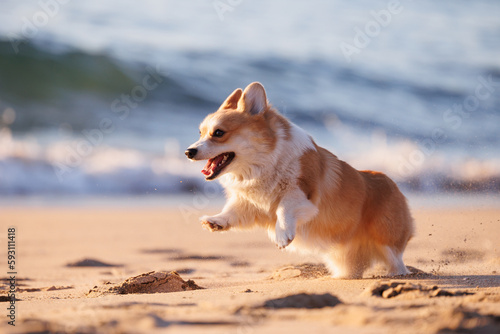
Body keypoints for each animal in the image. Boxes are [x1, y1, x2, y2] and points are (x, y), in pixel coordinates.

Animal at [186, 81, 412, 280]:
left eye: (218, 133)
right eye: (200, 133)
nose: (189, 152)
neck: (265, 161)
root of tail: (395, 185)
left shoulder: (303, 194)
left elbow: (283, 207)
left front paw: (283, 235)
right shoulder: (250, 204)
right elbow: (233, 211)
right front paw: (215, 221)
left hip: (386, 238)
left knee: (396, 259)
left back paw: (396, 274)